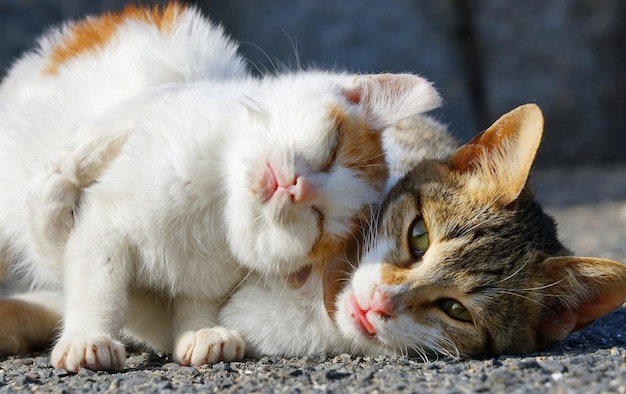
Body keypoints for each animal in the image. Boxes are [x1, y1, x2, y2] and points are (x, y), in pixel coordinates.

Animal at [0, 3, 438, 372]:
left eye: (319, 219)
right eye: (331, 150)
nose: (296, 187)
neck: (213, 197)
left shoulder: (211, 277)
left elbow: (191, 305)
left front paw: (200, 333)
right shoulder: (106, 227)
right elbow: (98, 284)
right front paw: (88, 338)